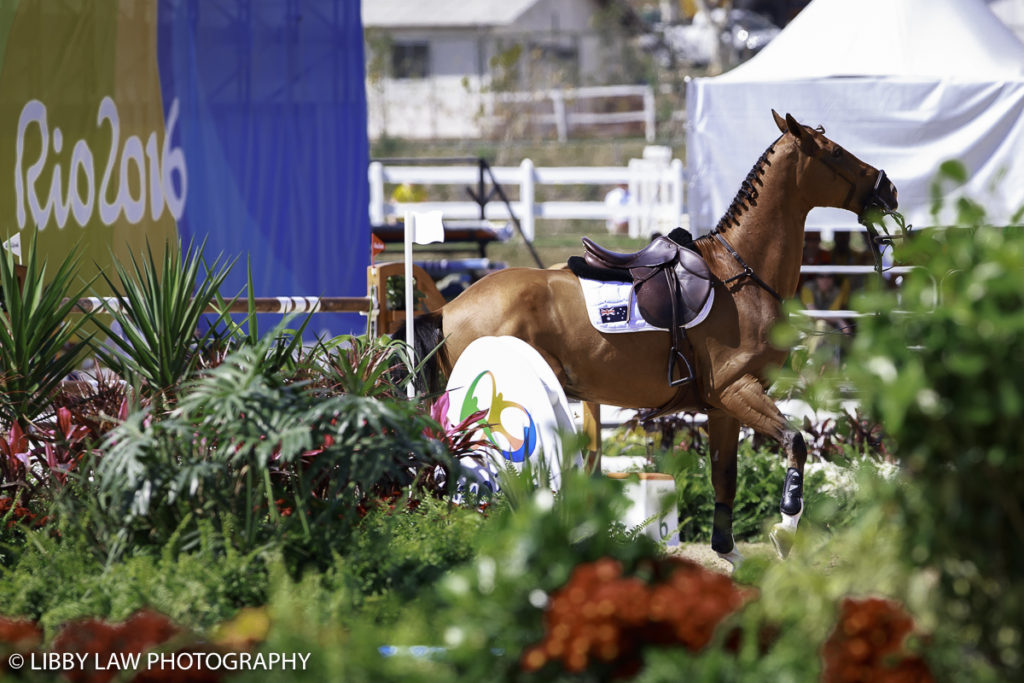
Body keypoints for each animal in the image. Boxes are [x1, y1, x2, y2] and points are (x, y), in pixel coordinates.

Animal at [407, 109, 897, 565]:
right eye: (835, 153)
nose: (887, 187)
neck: (740, 272)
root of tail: (450, 306)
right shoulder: (739, 390)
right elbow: (794, 442)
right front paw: (786, 526)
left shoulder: (723, 407)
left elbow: (725, 477)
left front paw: (729, 552)